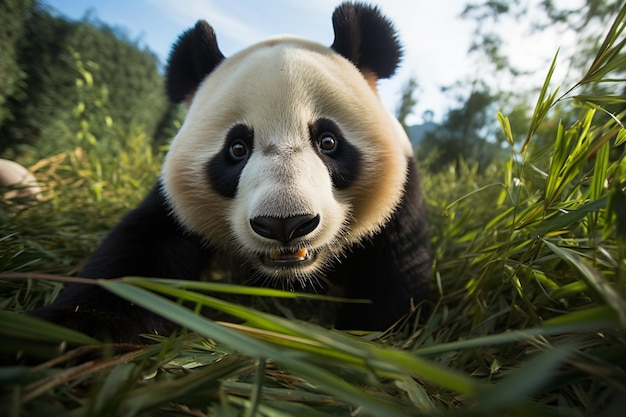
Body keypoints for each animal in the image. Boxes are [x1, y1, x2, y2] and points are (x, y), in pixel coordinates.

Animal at [29, 2, 428, 342]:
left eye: (328, 141)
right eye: (237, 149)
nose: (285, 224)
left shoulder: (399, 199)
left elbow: (394, 278)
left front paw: (365, 339)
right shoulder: (174, 205)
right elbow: (135, 260)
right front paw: (64, 333)